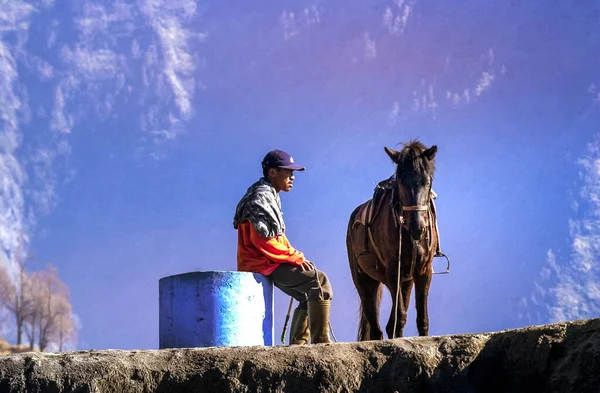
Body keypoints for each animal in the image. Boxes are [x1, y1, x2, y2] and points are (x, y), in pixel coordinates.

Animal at [344, 141, 438, 340]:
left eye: (427, 182)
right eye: (401, 183)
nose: (417, 227)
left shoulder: (424, 270)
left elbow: (422, 318)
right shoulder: (393, 270)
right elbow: (399, 318)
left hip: (405, 280)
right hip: (365, 281)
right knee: (376, 327)